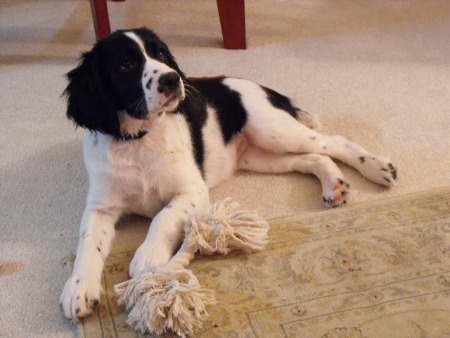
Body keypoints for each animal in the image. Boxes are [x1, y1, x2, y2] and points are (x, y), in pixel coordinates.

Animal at [59, 28, 398, 320]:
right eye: (126, 63)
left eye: (161, 54)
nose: (171, 79)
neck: (138, 140)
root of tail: (261, 87)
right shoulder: (101, 207)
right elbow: (88, 242)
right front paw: (78, 289)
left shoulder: (192, 191)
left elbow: (162, 218)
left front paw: (148, 259)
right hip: (260, 156)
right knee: (314, 158)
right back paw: (333, 184)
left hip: (274, 130)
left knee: (334, 142)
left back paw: (379, 167)